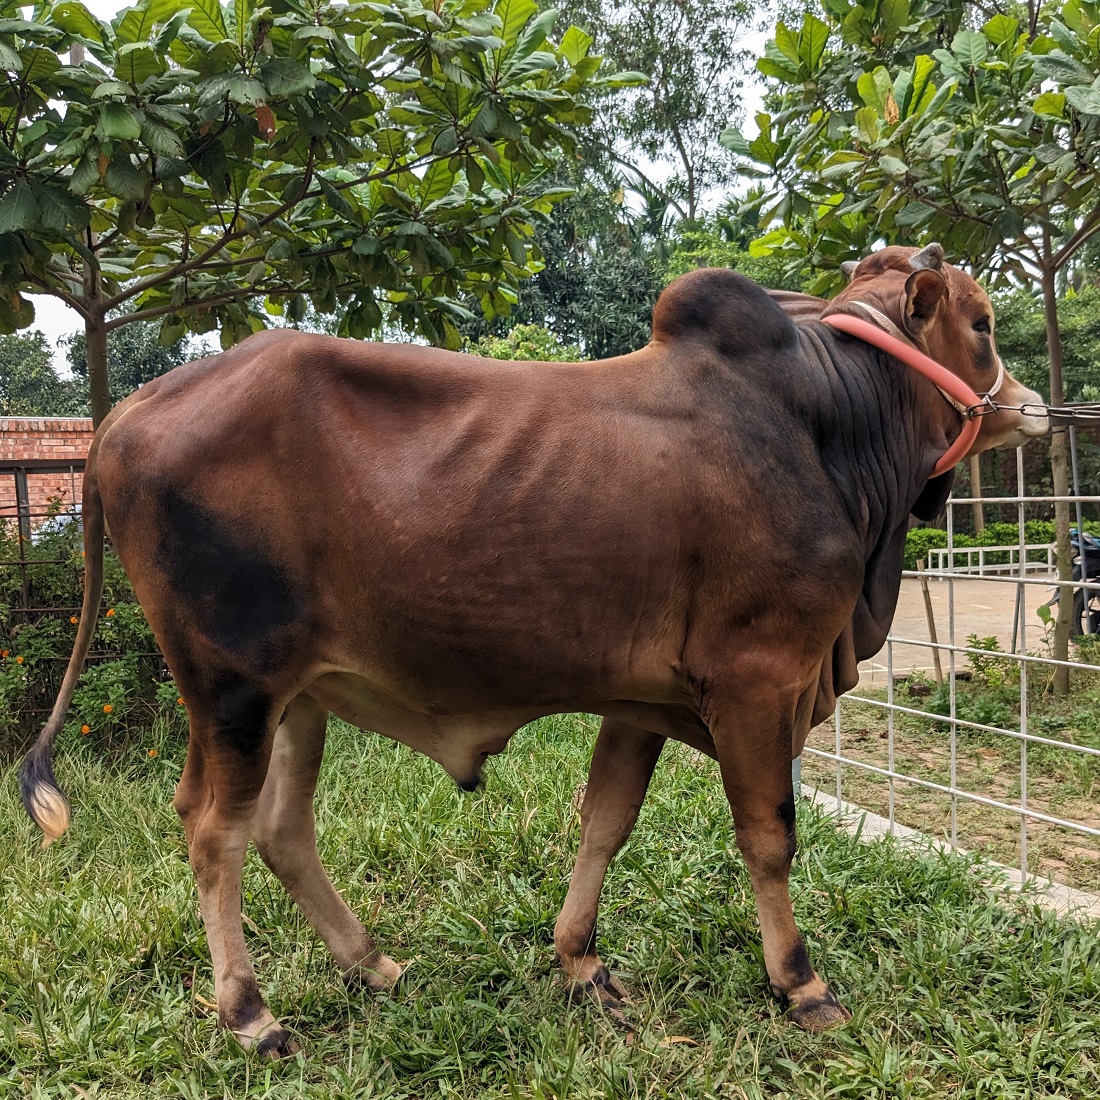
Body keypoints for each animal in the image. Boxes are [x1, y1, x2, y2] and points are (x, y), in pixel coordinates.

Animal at [21, 245, 1042, 1051]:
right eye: (984, 324)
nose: (1032, 406)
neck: (828, 426)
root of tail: (125, 415)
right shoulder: (759, 682)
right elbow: (770, 837)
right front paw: (800, 983)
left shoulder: (645, 698)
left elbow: (605, 821)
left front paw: (579, 960)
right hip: (231, 688)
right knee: (211, 829)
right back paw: (251, 1014)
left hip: (300, 696)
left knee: (280, 828)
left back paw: (373, 964)